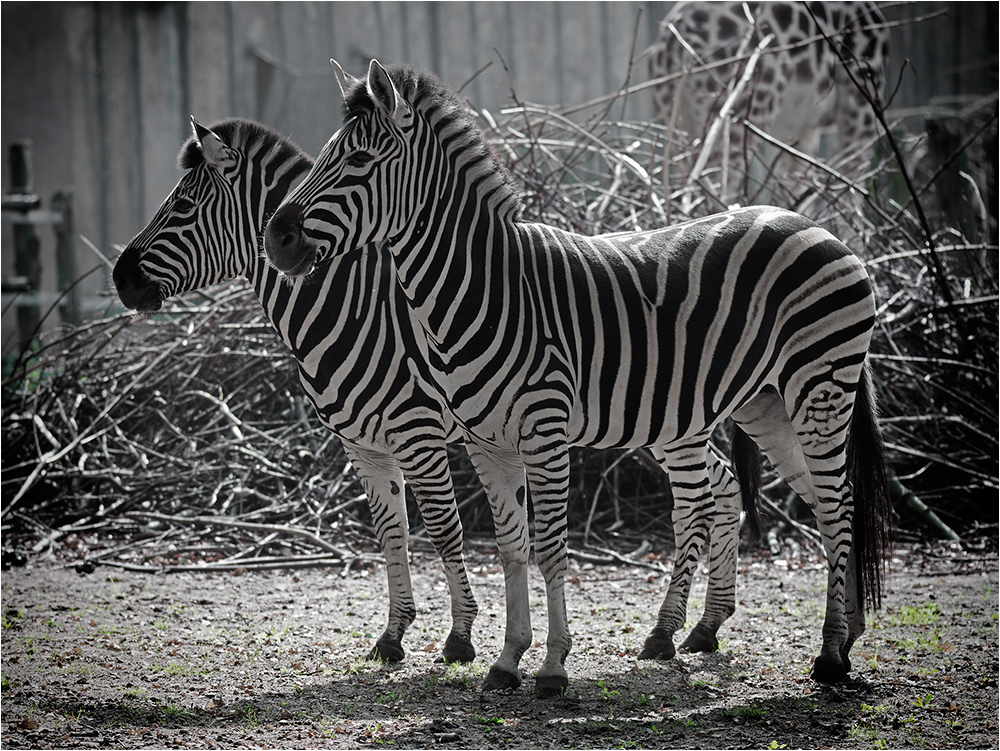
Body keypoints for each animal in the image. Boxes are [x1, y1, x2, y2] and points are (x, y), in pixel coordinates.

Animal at [112, 114, 480, 668]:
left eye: (183, 208)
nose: (119, 278)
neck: (352, 308)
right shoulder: (363, 444)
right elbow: (391, 531)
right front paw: (392, 636)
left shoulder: (417, 433)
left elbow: (442, 529)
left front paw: (459, 638)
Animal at [264, 61, 892, 696]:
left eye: (358, 160)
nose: (276, 238)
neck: (484, 289)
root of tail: (814, 225)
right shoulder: (486, 442)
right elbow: (512, 548)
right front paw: (506, 660)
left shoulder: (542, 430)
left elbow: (548, 547)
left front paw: (551, 666)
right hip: (767, 405)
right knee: (826, 501)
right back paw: (844, 636)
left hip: (818, 382)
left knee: (836, 503)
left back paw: (829, 656)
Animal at [648, 0, 892, 203]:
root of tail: (673, 43)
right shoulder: (861, 104)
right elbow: (851, 194)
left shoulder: (800, 131)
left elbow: (795, 190)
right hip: (743, 116)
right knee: (714, 191)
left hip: (677, 123)